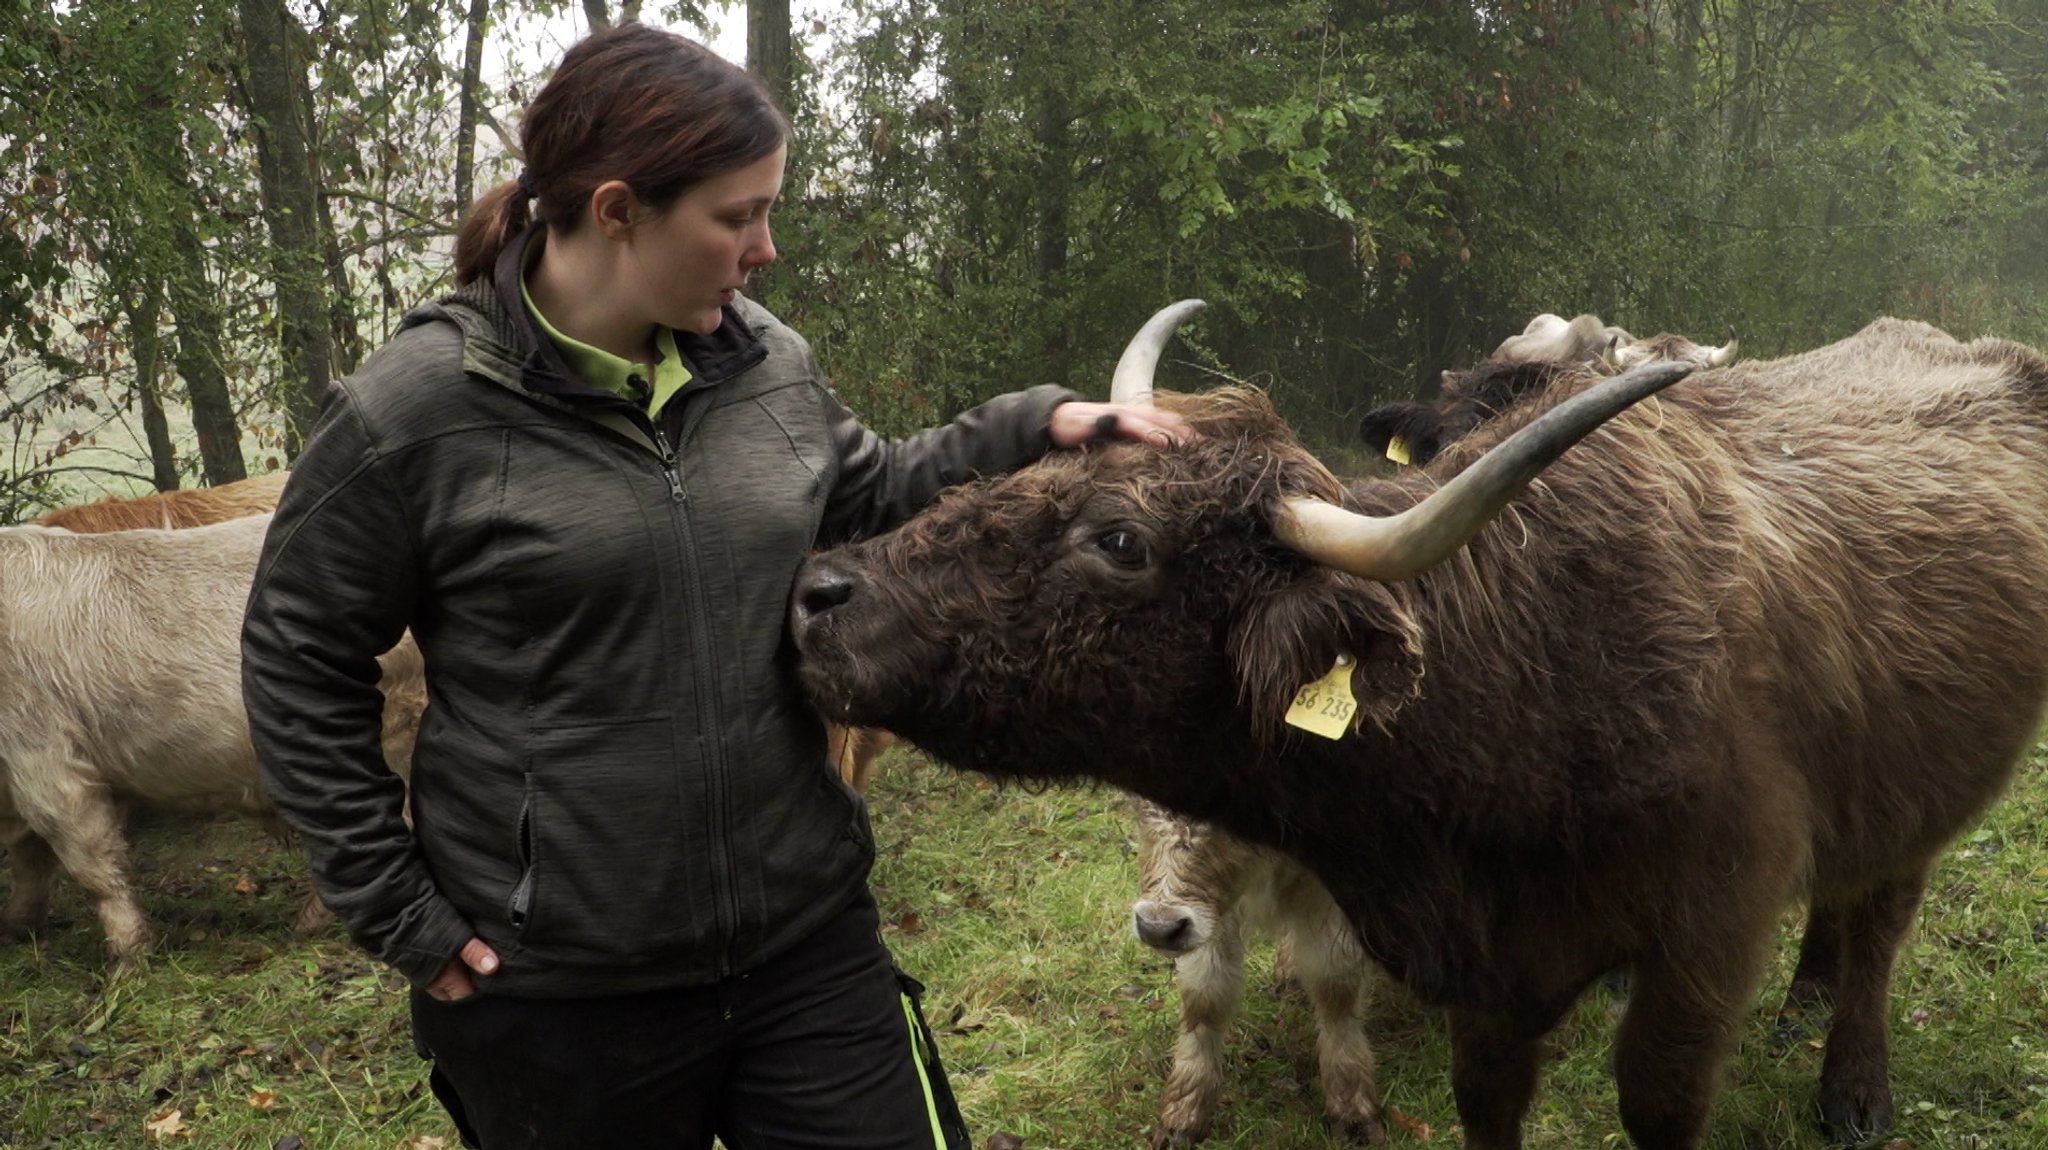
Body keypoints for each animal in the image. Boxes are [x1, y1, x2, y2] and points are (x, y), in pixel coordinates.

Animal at [1130, 793, 1384, 1137]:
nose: (1158, 928)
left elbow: (1336, 993)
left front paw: (1353, 1111)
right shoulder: (1215, 915)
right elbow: (1205, 999)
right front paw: (1184, 1113)